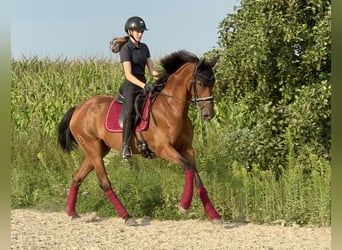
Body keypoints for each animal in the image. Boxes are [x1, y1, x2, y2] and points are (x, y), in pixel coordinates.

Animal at [57, 49, 223, 225]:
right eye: (200, 83)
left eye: (213, 83)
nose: (209, 114)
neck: (171, 108)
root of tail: (78, 108)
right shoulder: (164, 149)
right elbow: (188, 167)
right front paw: (183, 206)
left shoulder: (186, 148)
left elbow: (195, 175)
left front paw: (214, 215)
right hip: (93, 148)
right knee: (104, 183)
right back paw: (127, 216)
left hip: (98, 150)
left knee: (77, 176)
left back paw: (72, 212)